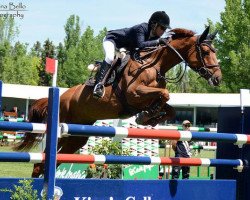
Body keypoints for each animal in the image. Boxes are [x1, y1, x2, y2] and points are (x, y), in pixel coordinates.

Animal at [14, 26, 221, 177]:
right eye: (205, 51)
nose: (218, 78)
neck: (155, 65)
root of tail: (61, 96)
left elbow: (169, 108)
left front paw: (149, 117)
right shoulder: (134, 93)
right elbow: (165, 93)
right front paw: (147, 116)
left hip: (77, 137)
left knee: (56, 159)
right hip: (62, 129)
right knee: (42, 163)